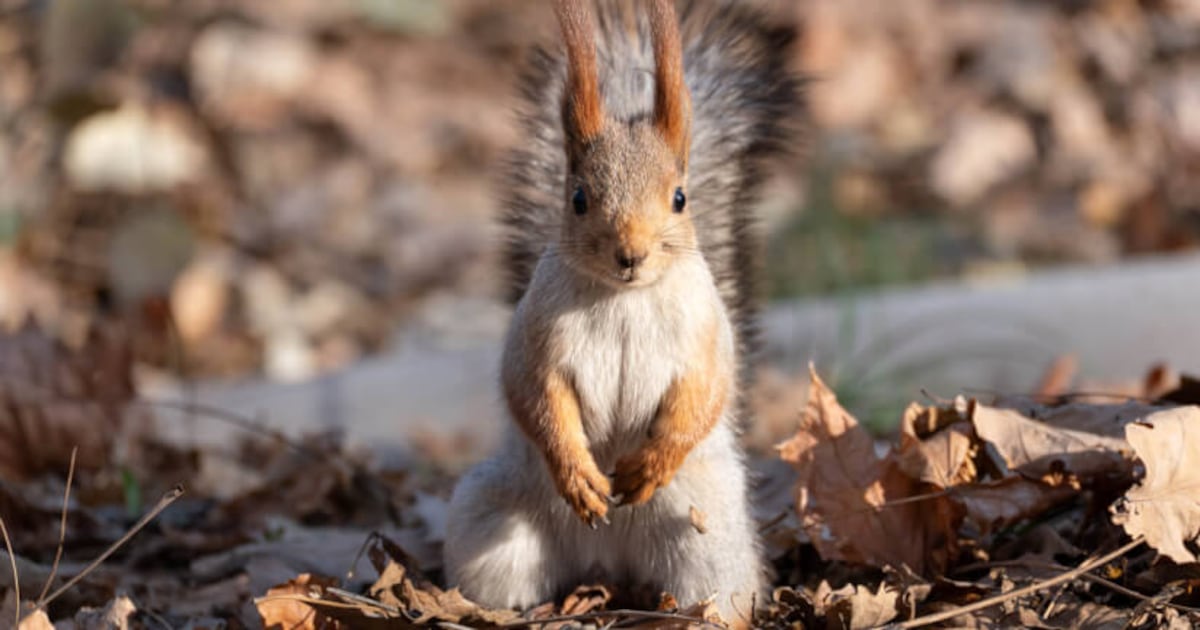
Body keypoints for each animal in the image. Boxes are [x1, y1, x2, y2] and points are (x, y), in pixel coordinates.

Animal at [445, 0, 800, 624]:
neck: (624, 297)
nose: (630, 254)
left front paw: (653, 462)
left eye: (680, 197)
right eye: (578, 198)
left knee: (716, 590)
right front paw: (577, 473)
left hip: (711, 543)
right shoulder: (535, 338)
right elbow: (536, 398)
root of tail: (609, 563)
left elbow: (705, 394)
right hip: (492, 527)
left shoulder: (706, 335)